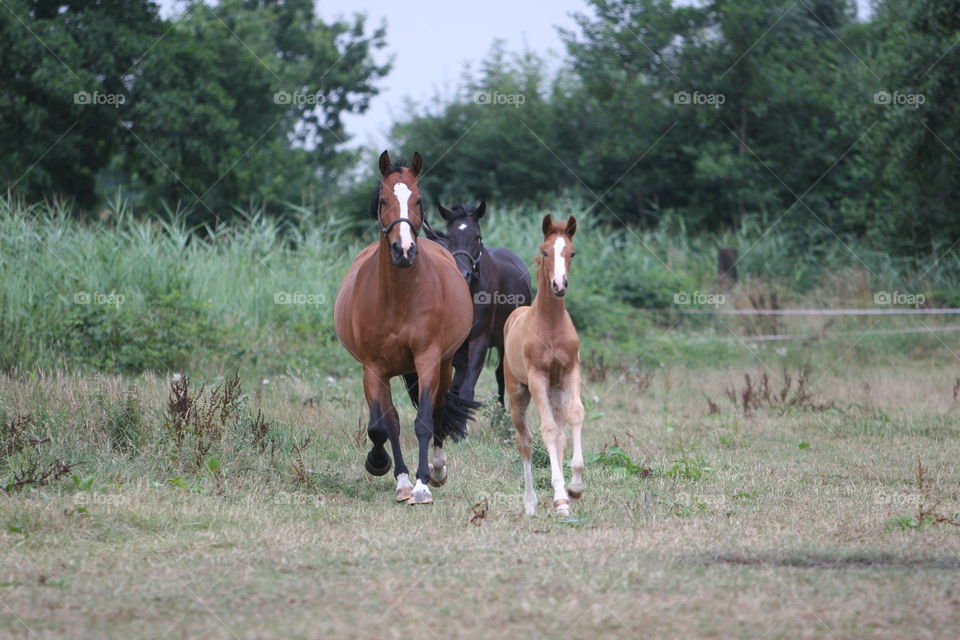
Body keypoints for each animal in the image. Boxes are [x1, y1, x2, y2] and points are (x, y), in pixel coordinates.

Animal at [333, 150, 478, 505]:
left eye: (419, 199)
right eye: (383, 200)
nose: (404, 250)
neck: (399, 297)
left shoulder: (427, 359)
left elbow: (424, 421)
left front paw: (423, 484)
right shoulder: (373, 368)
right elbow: (382, 425)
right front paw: (383, 467)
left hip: (444, 365)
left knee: (438, 412)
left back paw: (437, 470)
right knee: (392, 420)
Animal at [431, 202, 532, 406]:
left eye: (477, 236)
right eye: (448, 236)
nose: (463, 274)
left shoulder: (480, 339)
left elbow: (467, 390)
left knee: (501, 375)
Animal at [502, 214, 585, 516]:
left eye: (571, 252)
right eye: (545, 251)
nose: (559, 285)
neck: (550, 326)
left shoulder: (571, 372)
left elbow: (576, 416)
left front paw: (574, 488)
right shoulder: (537, 377)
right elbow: (546, 430)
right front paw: (560, 498)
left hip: (555, 390)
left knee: (560, 435)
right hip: (518, 392)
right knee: (524, 441)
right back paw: (531, 502)